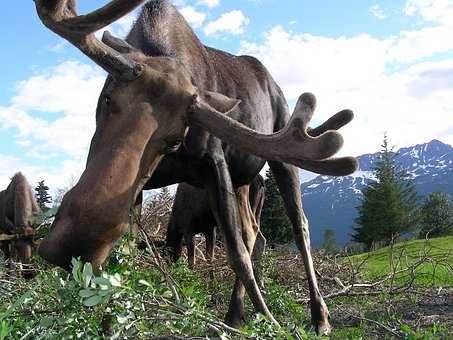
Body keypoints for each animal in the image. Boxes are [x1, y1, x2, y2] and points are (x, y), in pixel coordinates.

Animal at [34, 0, 356, 334]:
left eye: (176, 139)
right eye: (107, 98)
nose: (76, 242)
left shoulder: (215, 164)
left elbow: (236, 252)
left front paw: (271, 321)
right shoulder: (141, 188)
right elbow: (124, 252)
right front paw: (109, 323)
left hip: (281, 154)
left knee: (298, 226)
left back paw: (316, 315)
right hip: (244, 180)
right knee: (253, 232)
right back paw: (239, 310)